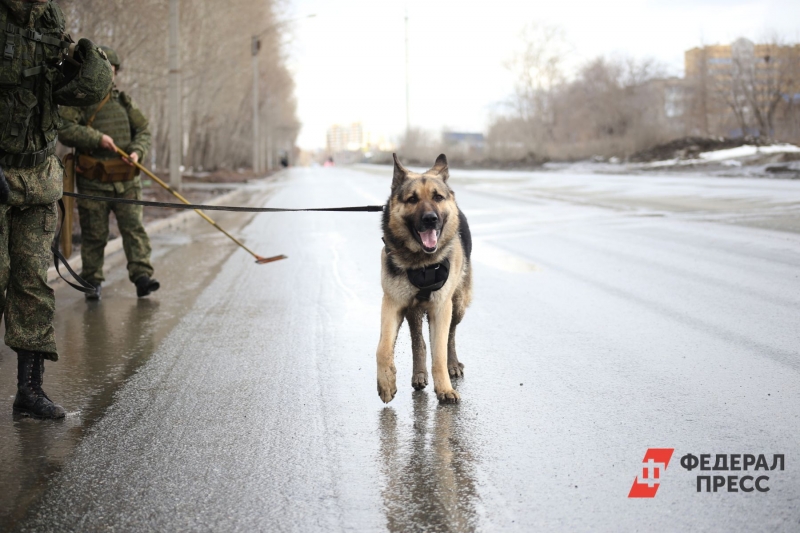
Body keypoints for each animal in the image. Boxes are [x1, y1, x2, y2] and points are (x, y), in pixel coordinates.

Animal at [378, 154, 472, 404]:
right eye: (412, 199)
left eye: (437, 197)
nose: (430, 219)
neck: (420, 263)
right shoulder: (392, 304)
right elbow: (383, 348)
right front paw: (386, 383)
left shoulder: (441, 308)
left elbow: (439, 352)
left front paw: (445, 389)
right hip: (413, 310)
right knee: (418, 341)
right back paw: (419, 374)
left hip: (457, 306)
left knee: (450, 337)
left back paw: (452, 365)